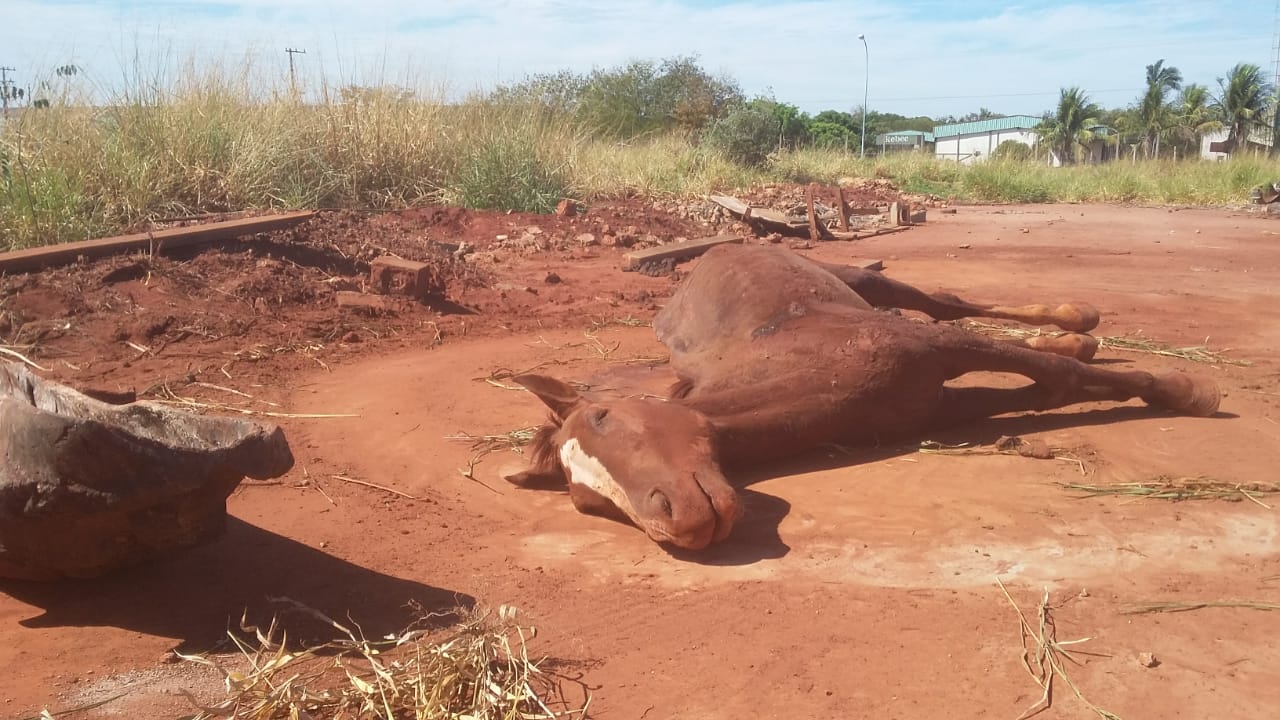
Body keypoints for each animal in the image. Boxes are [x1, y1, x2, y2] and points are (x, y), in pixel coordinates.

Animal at [504, 243, 1223, 545]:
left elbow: (1052, 375)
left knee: (941, 299)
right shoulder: (935, 404)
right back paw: (1075, 339)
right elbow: (1044, 390)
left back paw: (1078, 321)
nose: (674, 522)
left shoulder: (930, 348)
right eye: (587, 502)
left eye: (604, 417)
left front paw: (1188, 390)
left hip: (865, 281)